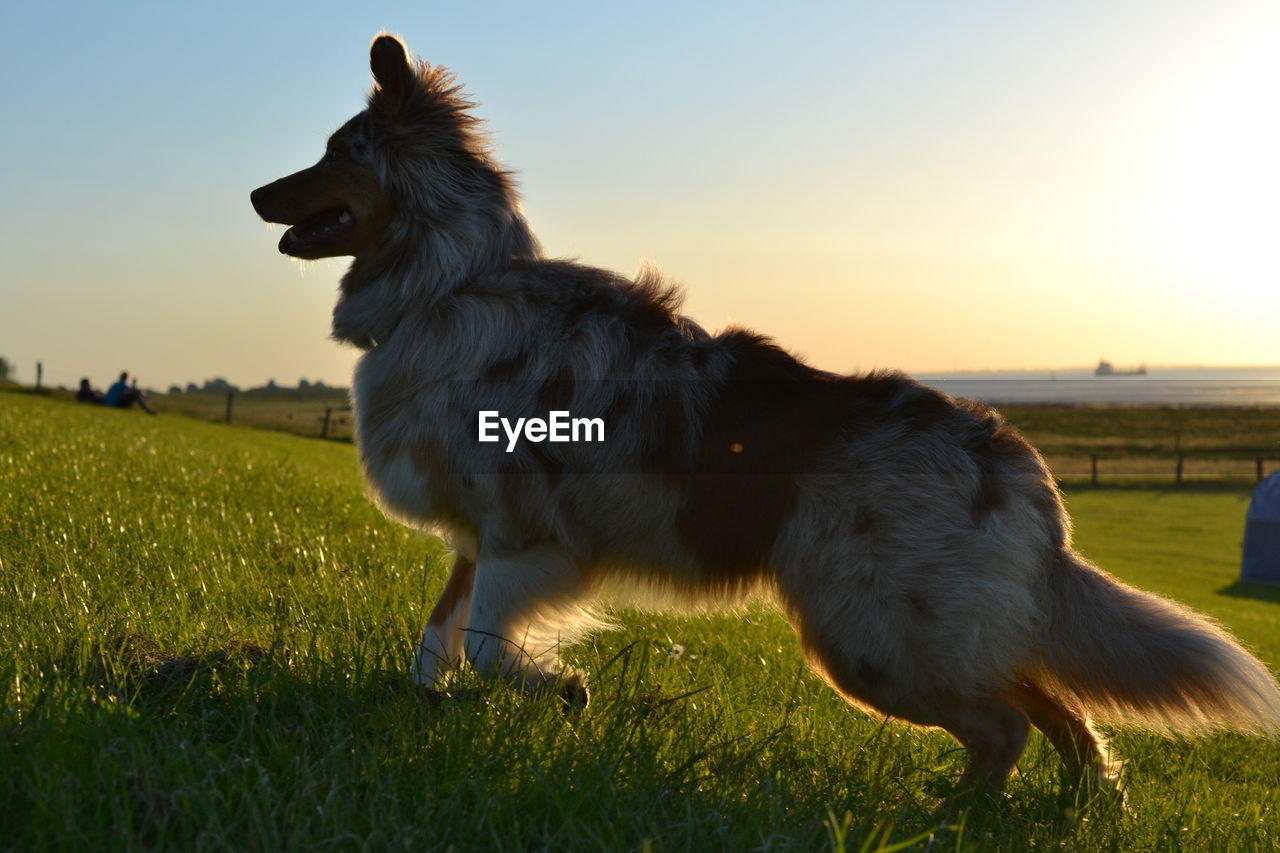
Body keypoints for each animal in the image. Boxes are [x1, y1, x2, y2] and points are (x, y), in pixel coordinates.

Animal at [249, 33, 1280, 788]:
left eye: (336, 153)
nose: (255, 192)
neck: (449, 283)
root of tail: (1021, 468)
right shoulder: (478, 539)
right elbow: (437, 640)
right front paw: (425, 708)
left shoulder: (527, 538)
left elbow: (492, 648)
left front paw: (565, 690)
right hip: (928, 632)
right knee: (1057, 708)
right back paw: (1073, 808)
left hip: (870, 638)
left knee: (1005, 725)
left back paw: (956, 818)